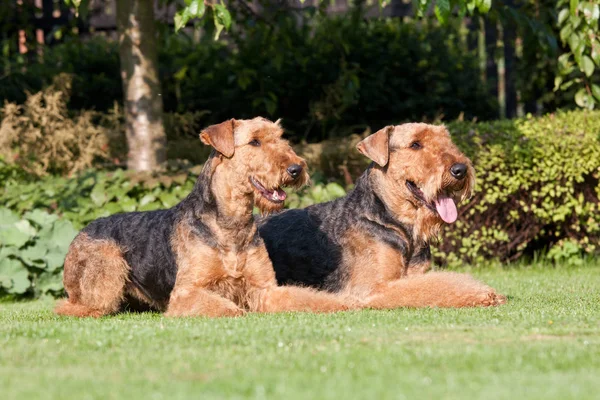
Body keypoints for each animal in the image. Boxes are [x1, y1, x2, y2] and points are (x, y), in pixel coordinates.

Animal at [258, 123, 506, 308]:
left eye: (447, 141)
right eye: (415, 144)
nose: (460, 170)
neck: (396, 223)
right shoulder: (373, 288)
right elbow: (437, 286)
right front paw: (484, 293)